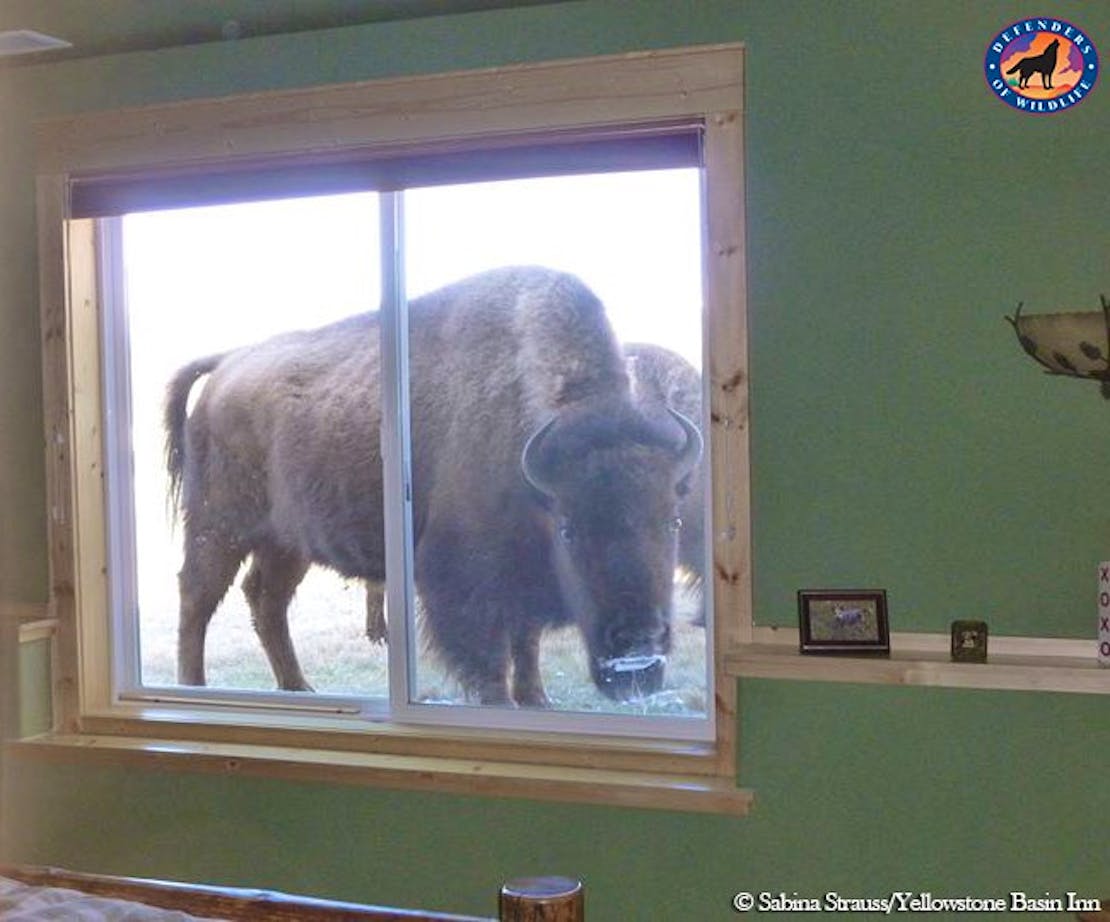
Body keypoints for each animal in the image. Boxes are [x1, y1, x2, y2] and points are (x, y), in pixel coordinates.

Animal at [164, 265, 701, 705]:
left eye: (673, 521)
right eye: (568, 528)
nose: (638, 644)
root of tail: (226, 365)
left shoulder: (518, 578)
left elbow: (525, 643)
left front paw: (538, 700)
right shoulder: (464, 584)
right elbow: (490, 661)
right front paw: (507, 704)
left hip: (287, 543)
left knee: (265, 599)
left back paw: (298, 687)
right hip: (218, 528)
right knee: (197, 598)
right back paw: (195, 687)